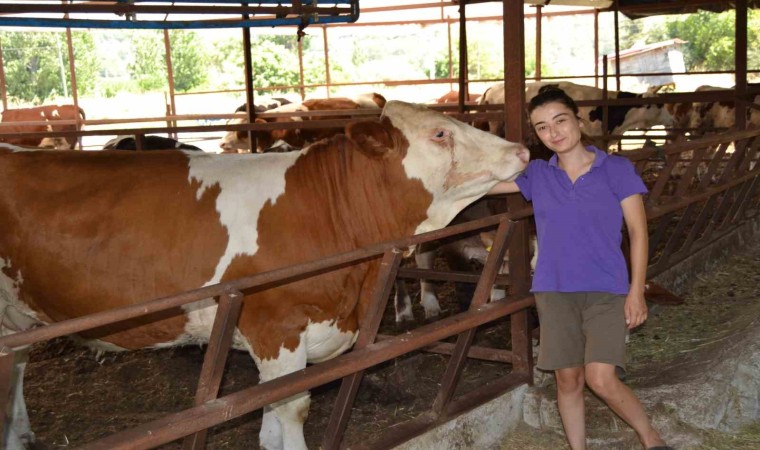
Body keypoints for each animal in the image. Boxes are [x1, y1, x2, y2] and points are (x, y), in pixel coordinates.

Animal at [0, 101, 528, 450]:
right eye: (440, 134)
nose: (522, 151)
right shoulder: (276, 327)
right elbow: (291, 409)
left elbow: (272, 420)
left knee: (18, 366)